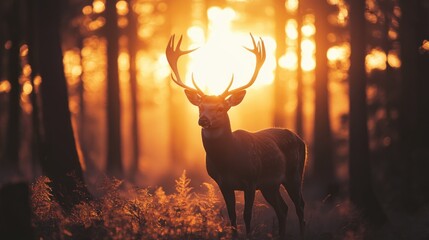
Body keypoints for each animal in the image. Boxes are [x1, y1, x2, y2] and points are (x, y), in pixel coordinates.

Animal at [166, 33, 306, 238]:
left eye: (221, 108)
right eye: (200, 106)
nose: (203, 120)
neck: (228, 162)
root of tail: (301, 139)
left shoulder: (251, 180)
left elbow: (247, 215)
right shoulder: (223, 183)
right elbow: (232, 216)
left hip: (294, 173)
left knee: (300, 205)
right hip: (270, 185)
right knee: (283, 209)